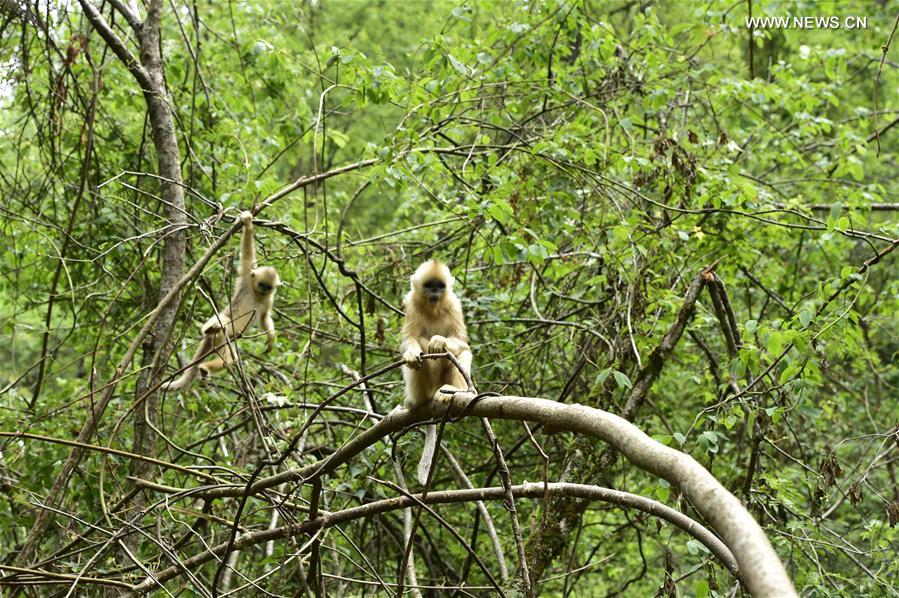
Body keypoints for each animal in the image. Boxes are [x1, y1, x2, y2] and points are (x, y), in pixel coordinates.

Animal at [163, 212, 282, 394]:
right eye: (261, 284)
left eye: (268, 287)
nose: (263, 290)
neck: (256, 295)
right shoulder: (246, 278)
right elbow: (247, 255)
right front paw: (248, 223)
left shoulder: (269, 299)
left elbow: (264, 318)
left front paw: (271, 338)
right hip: (219, 333)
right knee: (221, 323)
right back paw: (213, 328)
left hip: (226, 341)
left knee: (230, 358)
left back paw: (206, 368)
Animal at [400, 260, 474, 486]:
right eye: (429, 285)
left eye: (440, 286)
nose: (434, 292)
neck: (433, 308)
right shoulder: (411, 305)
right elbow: (410, 340)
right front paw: (412, 353)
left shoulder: (454, 304)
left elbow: (461, 341)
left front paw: (440, 341)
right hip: (422, 388)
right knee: (422, 345)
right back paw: (418, 400)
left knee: (463, 353)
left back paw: (454, 391)